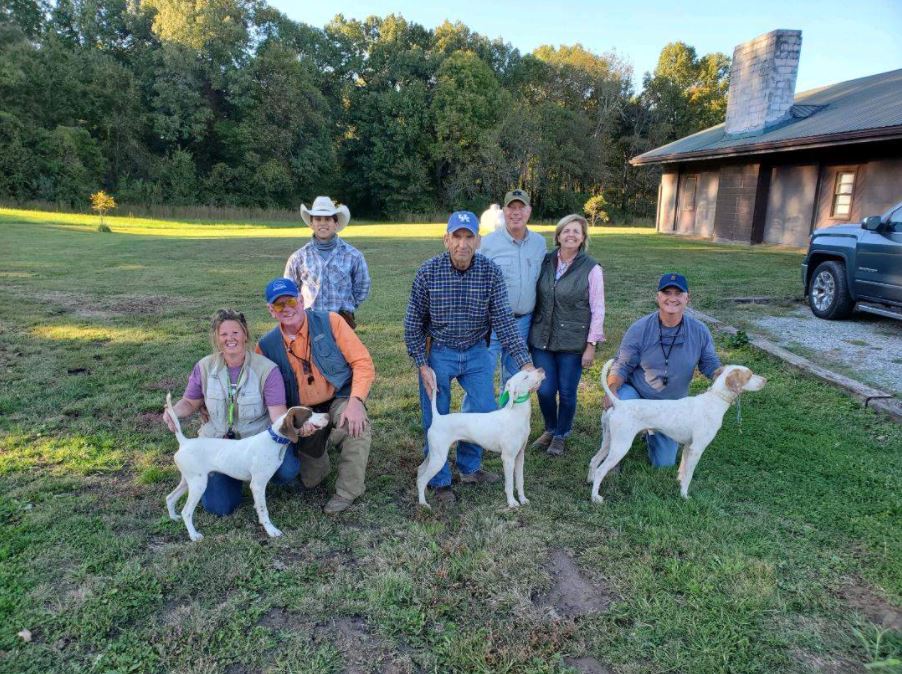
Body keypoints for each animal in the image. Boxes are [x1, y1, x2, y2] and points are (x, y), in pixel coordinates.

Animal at [164, 394, 330, 540]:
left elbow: (259, 506)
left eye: (312, 410)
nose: (328, 416)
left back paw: (173, 517)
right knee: (186, 512)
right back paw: (193, 535)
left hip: (188, 481)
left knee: (170, 498)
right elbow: (264, 510)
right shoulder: (257, 484)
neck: (274, 440)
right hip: (198, 484)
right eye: (308, 415)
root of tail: (185, 442)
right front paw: (271, 530)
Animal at [414, 364, 544, 506]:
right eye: (525, 377)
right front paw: (512, 503)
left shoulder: (520, 456)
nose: (541, 370)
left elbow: (520, 482)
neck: (515, 414)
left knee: (420, 471)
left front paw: (523, 499)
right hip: (439, 458)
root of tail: (437, 418)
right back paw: (423, 504)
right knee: (422, 480)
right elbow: (509, 484)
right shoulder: (508, 458)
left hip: (433, 455)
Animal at [588, 360, 768, 502]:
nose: (766, 380)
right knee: (601, 470)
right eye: (749, 375)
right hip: (621, 446)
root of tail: (618, 403)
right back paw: (595, 497)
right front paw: (684, 496)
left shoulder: (689, 447)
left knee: (594, 460)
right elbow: (689, 475)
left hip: (609, 442)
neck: (713, 401)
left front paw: (679, 486)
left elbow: (683, 471)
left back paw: (589, 481)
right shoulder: (697, 449)